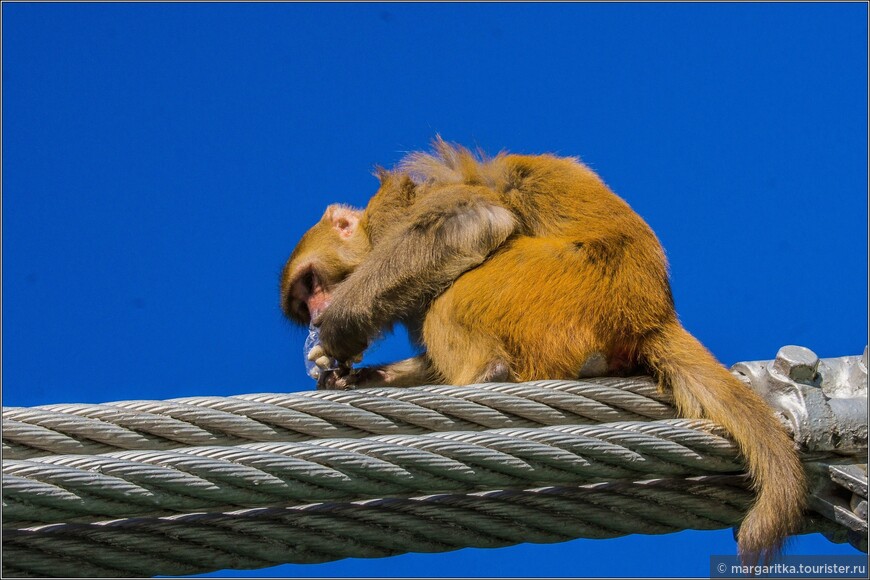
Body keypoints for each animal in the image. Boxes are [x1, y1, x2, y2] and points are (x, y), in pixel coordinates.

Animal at [282, 136, 812, 560]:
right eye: (303, 301)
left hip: (561, 289)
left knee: (457, 291)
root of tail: (650, 314)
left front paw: (342, 325)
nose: (316, 311)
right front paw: (358, 375)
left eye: (313, 285)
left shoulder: (405, 212)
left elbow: (470, 221)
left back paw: (488, 373)